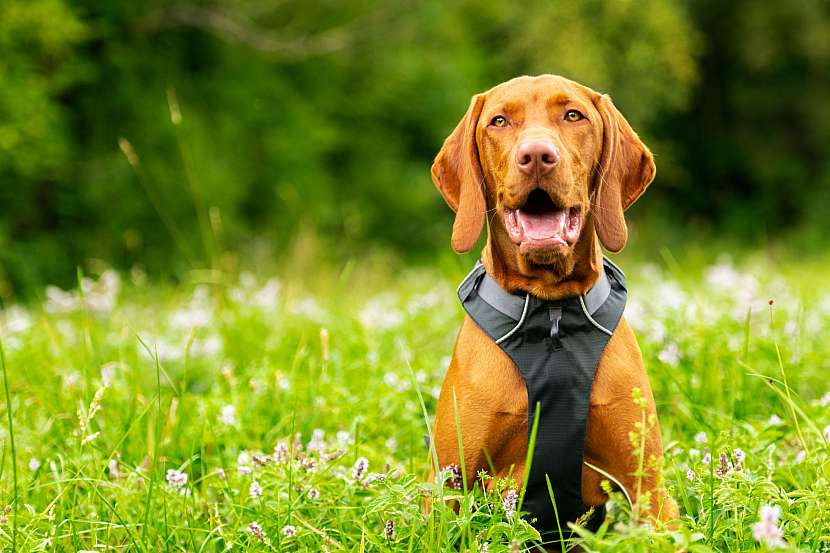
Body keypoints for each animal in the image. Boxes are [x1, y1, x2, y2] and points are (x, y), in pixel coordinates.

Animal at [432, 73, 680, 540]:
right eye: (499, 121)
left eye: (573, 115)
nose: (536, 156)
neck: (552, 315)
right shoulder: (448, 492)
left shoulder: (650, 493)